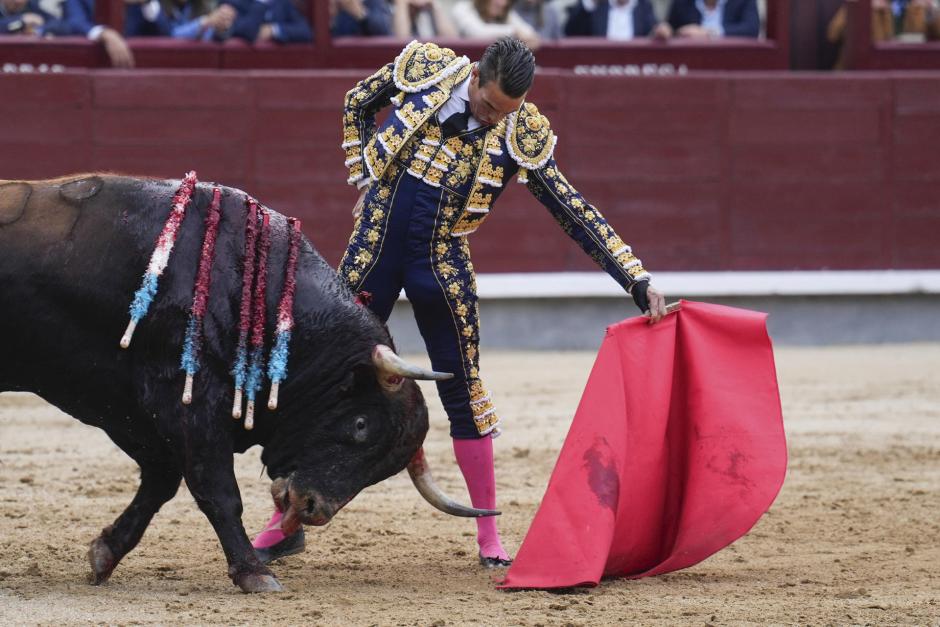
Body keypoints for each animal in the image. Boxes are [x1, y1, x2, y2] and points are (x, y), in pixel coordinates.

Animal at [0, 175, 496, 592]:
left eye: (385, 468)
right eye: (360, 426)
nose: (312, 507)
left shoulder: (129, 410)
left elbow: (162, 480)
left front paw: (105, 554)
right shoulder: (186, 402)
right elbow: (218, 491)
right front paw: (254, 573)